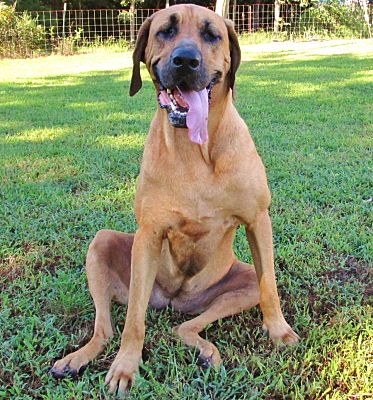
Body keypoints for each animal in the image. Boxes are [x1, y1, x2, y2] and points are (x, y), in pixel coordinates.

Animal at [50, 4, 298, 396]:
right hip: (105, 245)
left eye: (212, 35)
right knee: (108, 326)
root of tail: (174, 300)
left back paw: (206, 351)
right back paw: (78, 357)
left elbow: (270, 286)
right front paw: (125, 367)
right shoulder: (148, 235)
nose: (185, 61)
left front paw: (279, 332)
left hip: (239, 282)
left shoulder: (259, 219)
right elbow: (133, 321)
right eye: (165, 31)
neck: (194, 150)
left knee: (186, 325)